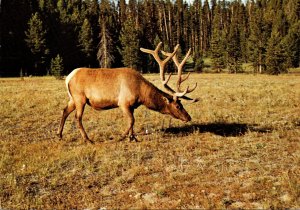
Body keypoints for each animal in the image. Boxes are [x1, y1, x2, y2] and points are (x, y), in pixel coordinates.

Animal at [58, 42, 199, 143]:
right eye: (178, 106)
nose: (188, 117)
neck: (141, 93)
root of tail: (68, 77)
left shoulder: (132, 106)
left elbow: (132, 121)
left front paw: (132, 137)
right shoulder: (123, 103)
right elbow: (131, 120)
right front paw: (122, 137)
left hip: (73, 98)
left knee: (64, 111)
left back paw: (59, 135)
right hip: (80, 98)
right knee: (77, 117)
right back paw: (87, 139)